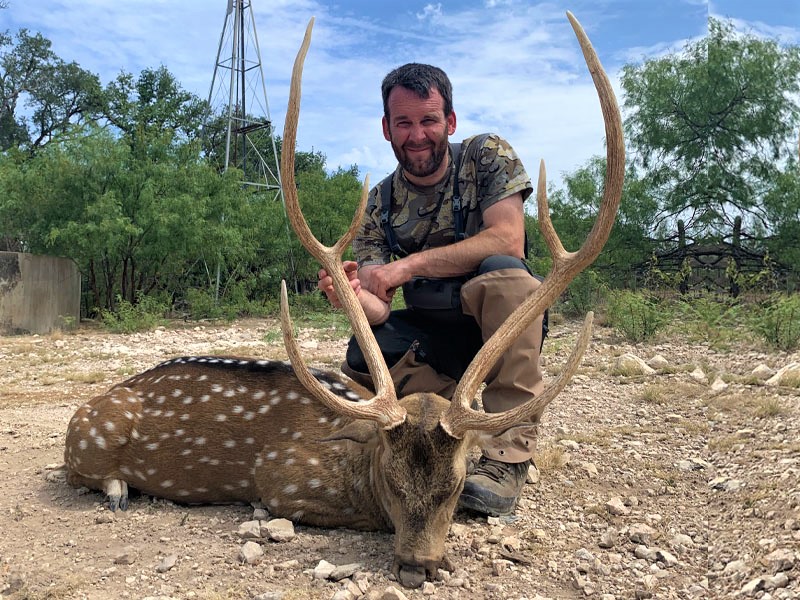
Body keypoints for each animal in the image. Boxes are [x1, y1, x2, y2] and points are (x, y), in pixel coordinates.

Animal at [63, 12, 623, 589]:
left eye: (454, 485)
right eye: (393, 482)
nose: (417, 568)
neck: (356, 460)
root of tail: (93, 403)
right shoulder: (283, 482)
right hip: (87, 437)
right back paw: (118, 491)